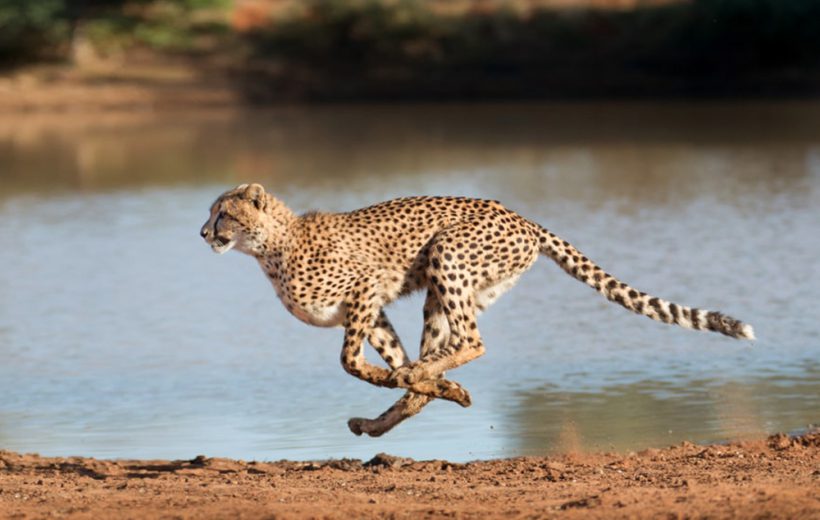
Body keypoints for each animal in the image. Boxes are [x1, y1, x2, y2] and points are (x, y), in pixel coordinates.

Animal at [200, 183, 755, 437]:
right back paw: (404, 406)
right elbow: (391, 360)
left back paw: (421, 381)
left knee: (473, 341)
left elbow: (351, 361)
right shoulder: (372, 308)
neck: (269, 247)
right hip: (448, 291)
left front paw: (401, 378)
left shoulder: (365, 289)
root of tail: (521, 216)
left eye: (223, 213)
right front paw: (428, 386)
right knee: (449, 349)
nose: (204, 232)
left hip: (447, 254)